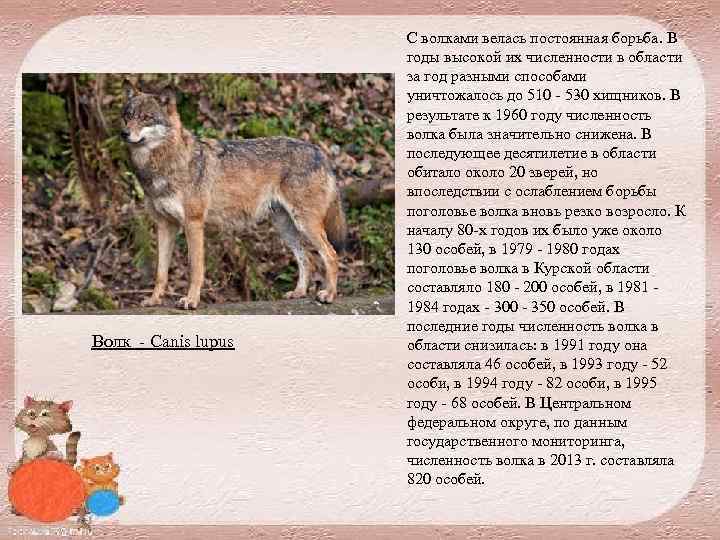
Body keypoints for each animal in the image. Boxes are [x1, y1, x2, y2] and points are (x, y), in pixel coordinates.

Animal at [120, 80, 347, 309]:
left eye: (146, 117)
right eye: (128, 115)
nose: (124, 134)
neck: (165, 162)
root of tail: (320, 152)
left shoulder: (193, 223)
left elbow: (195, 268)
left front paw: (191, 300)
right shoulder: (165, 225)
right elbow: (160, 272)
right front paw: (153, 300)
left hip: (305, 224)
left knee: (331, 255)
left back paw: (329, 294)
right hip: (285, 227)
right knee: (307, 258)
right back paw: (298, 293)